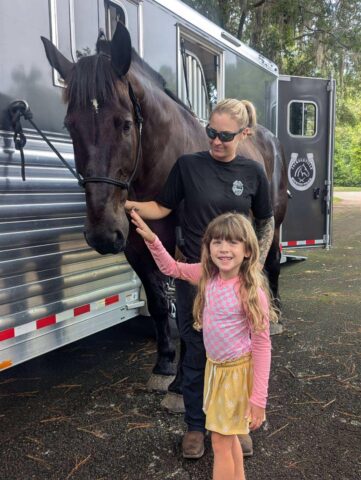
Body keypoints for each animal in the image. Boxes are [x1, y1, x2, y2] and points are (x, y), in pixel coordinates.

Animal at [40, 21, 286, 390]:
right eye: (70, 125)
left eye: (125, 123)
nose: (102, 234)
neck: (162, 166)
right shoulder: (136, 247)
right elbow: (158, 303)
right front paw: (165, 363)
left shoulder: (188, 247)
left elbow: (187, 307)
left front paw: (183, 380)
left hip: (273, 219)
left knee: (271, 261)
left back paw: (275, 317)